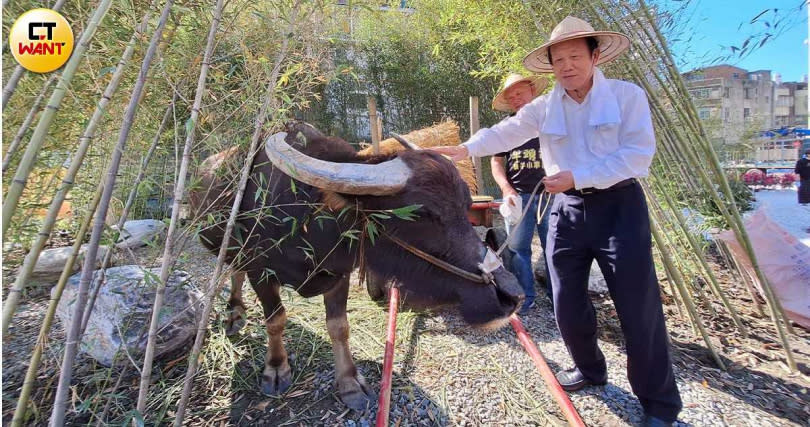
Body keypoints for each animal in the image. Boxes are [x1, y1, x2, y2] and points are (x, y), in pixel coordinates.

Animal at [187, 122, 520, 410]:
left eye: (466, 205)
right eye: (422, 213)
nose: (512, 294)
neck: (308, 219)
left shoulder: (339, 275)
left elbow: (339, 327)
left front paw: (349, 383)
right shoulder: (262, 273)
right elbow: (276, 320)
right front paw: (276, 368)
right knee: (233, 271)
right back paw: (234, 312)